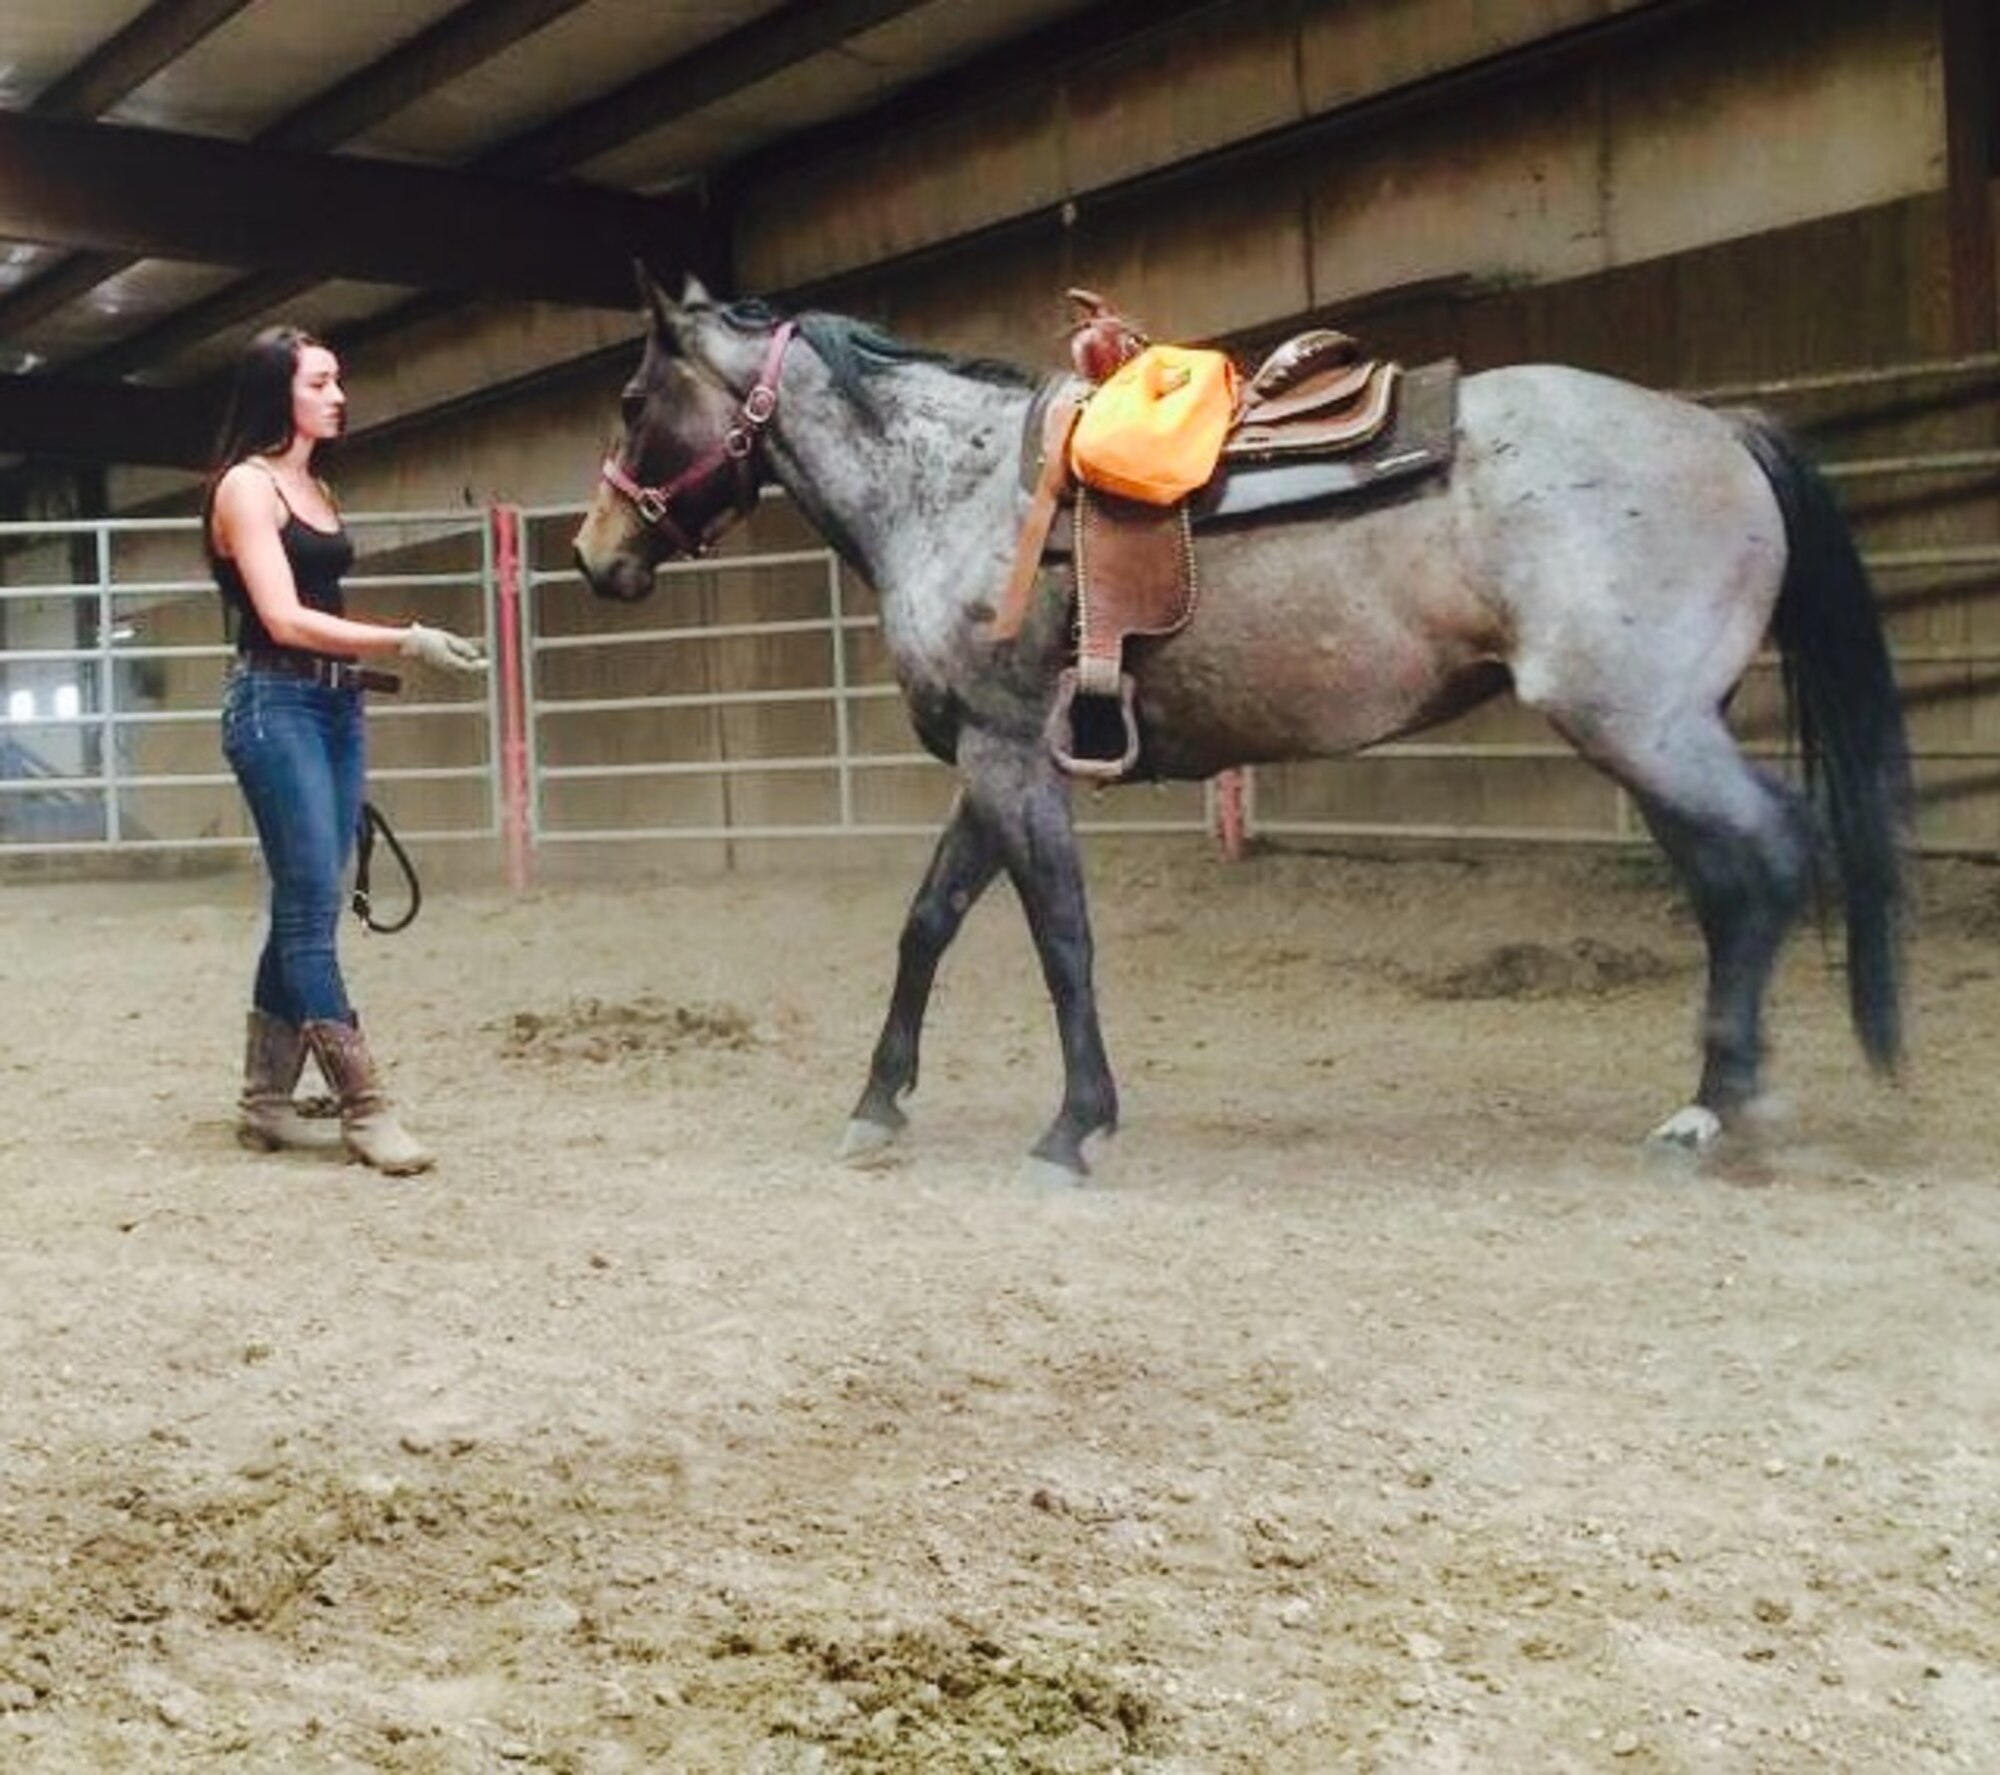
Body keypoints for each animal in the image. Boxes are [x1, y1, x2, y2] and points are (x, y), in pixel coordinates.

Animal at [576, 277, 1904, 1183]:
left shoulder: (1012, 760)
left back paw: (1716, 1107)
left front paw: (1073, 1125)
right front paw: (878, 1103)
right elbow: (927, 925)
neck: (954, 493)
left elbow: (1059, 938)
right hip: (1652, 733)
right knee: (1734, 881)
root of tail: (1719, 428)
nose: (595, 554)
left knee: (1766, 857)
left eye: (635, 400)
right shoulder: (991, 762)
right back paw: (1717, 1095)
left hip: (1642, 725)